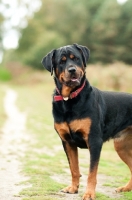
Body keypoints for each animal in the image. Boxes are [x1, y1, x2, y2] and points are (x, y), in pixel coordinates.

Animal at [41, 44, 132, 200]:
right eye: (61, 61)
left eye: (76, 58)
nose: (72, 70)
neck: (69, 99)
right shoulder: (67, 142)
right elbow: (74, 168)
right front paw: (73, 188)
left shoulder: (94, 141)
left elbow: (92, 173)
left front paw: (89, 193)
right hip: (121, 146)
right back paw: (126, 188)